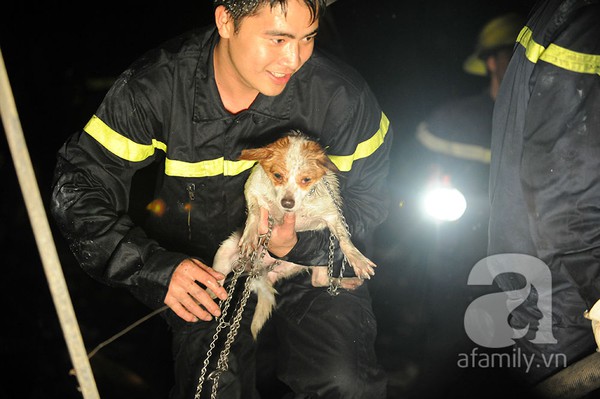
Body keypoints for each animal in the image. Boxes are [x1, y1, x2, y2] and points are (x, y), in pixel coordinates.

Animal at [212, 130, 376, 338]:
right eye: (277, 175)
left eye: (306, 180)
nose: (287, 203)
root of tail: (260, 271)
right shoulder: (252, 189)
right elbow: (255, 213)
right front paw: (250, 235)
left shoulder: (332, 215)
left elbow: (345, 239)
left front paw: (358, 260)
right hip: (223, 256)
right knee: (214, 283)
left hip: (317, 259)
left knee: (318, 280)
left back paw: (348, 282)